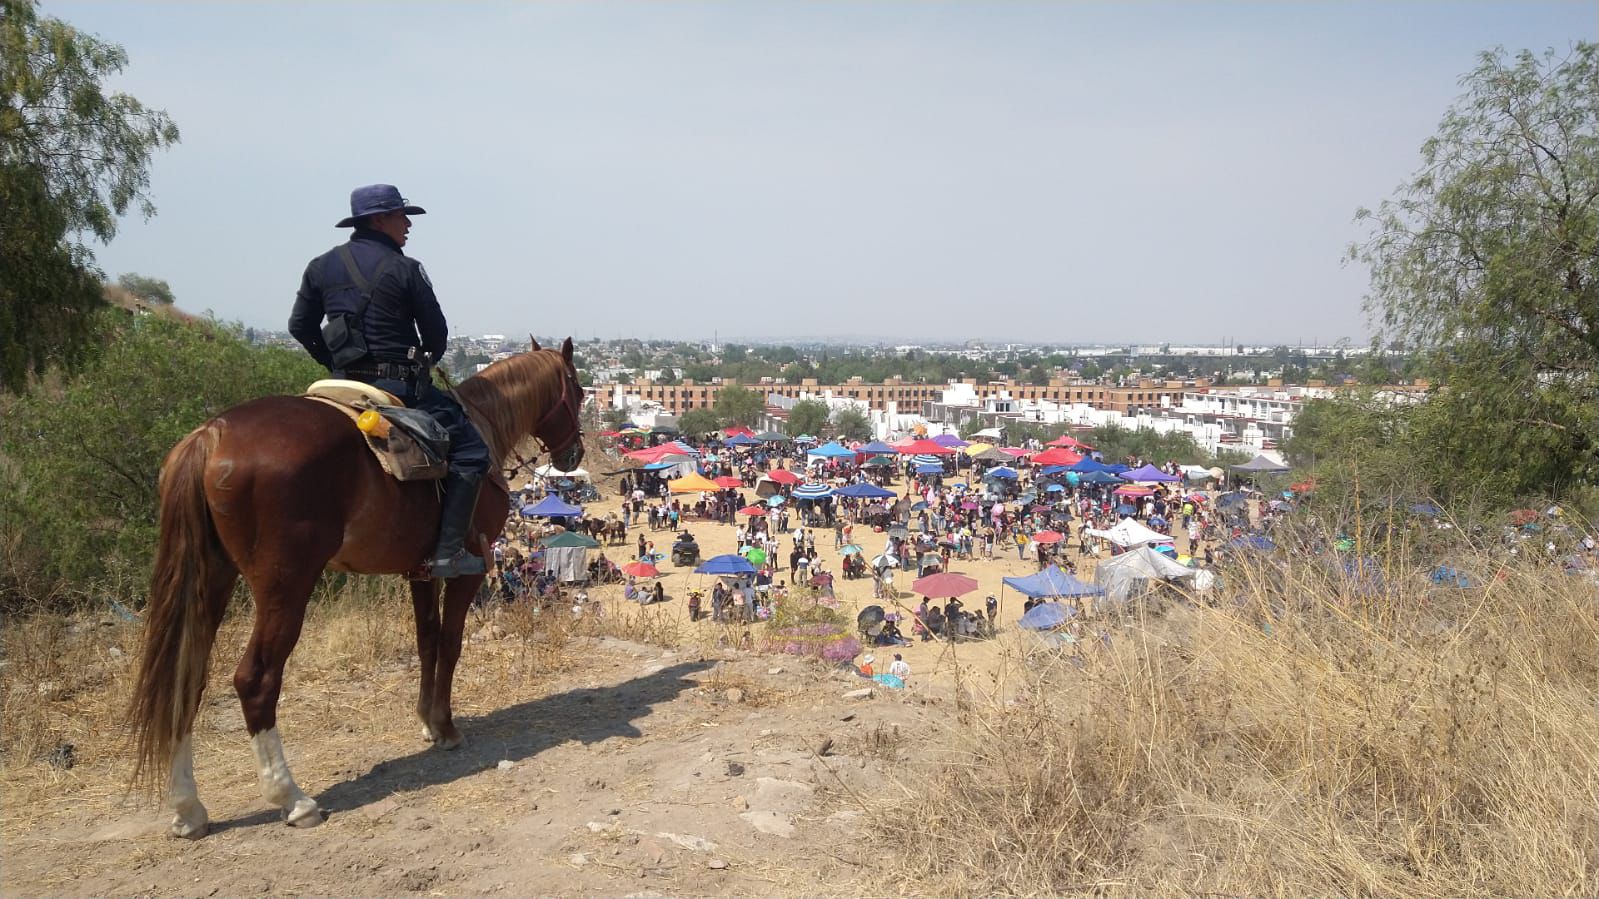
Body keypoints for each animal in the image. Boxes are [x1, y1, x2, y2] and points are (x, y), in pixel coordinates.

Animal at [129, 335, 582, 831]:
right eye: (578, 391)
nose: (574, 456)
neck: (482, 428)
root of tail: (212, 434)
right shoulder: (470, 568)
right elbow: (450, 642)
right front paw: (445, 726)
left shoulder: (422, 571)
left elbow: (427, 640)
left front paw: (427, 719)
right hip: (285, 586)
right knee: (256, 679)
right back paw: (292, 798)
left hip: (212, 579)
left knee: (186, 678)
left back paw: (188, 807)